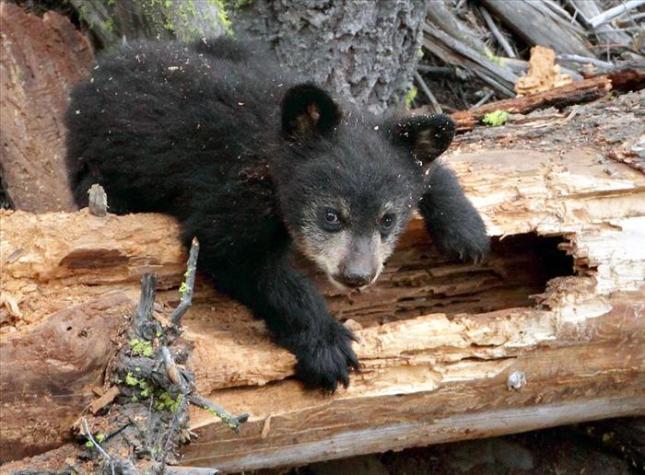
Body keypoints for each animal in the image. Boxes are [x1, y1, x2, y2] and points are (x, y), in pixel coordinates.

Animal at [65, 37, 489, 391]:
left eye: (387, 219)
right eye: (331, 215)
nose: (357, 276)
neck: (272, 153)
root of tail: (95, 73)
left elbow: (428, 168)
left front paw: (467, 230)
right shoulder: (233, 189)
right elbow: (236, 255)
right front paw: (328, 346)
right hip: (99, 171)